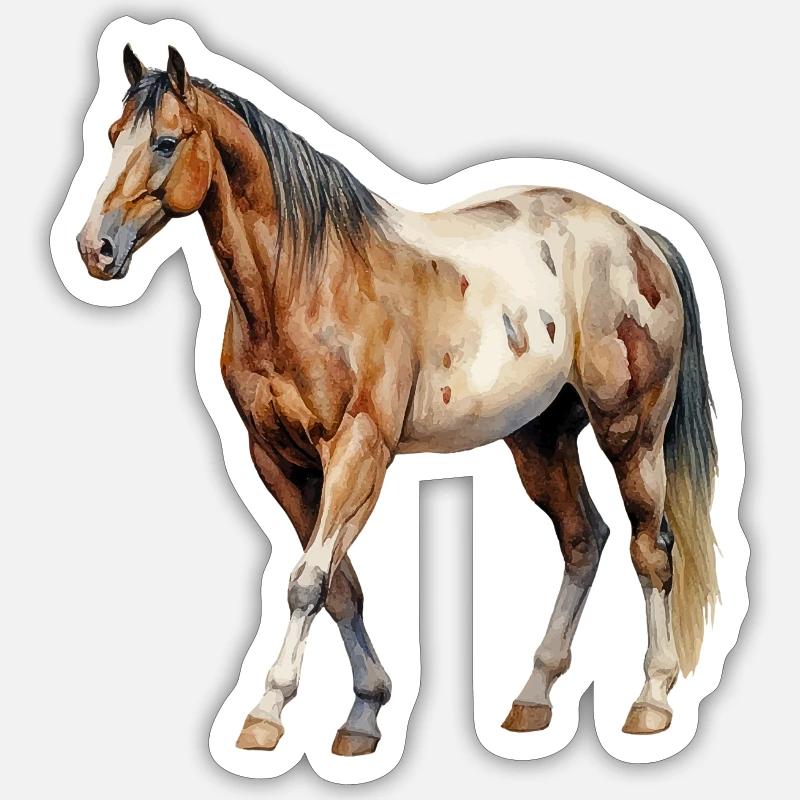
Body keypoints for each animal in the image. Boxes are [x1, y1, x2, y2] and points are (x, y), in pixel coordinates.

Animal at [76, 45, 718, 757]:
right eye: (112, 135)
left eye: (165, 142)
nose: (95, 248)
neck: (309, 280)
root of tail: (639, 236)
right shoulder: (279, 462)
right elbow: (339, 587)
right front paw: (363, 713)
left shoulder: (358, 452)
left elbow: (307, 582)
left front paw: (267, 714)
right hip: (540, 440)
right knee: (584, 540)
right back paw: (532, 698)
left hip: (631, 432)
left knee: (649, 547)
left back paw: (651, 700)